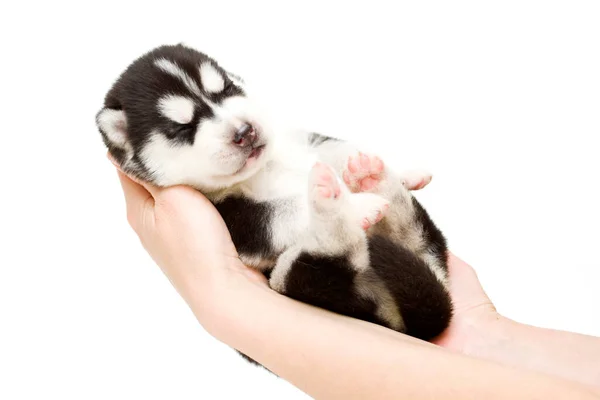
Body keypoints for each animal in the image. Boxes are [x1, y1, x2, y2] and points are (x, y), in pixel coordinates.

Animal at [96, 43, 452, 366]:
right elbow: (288, 210)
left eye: (226, 89)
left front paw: (398, 170)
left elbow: (335, 147)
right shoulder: (240, 221)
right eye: (182, 127)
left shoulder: (303, 141)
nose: (245, 131)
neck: (265, 166)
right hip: (290, 278)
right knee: (337, 252)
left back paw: (376, 179)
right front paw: (356, 204)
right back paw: (339, 204)